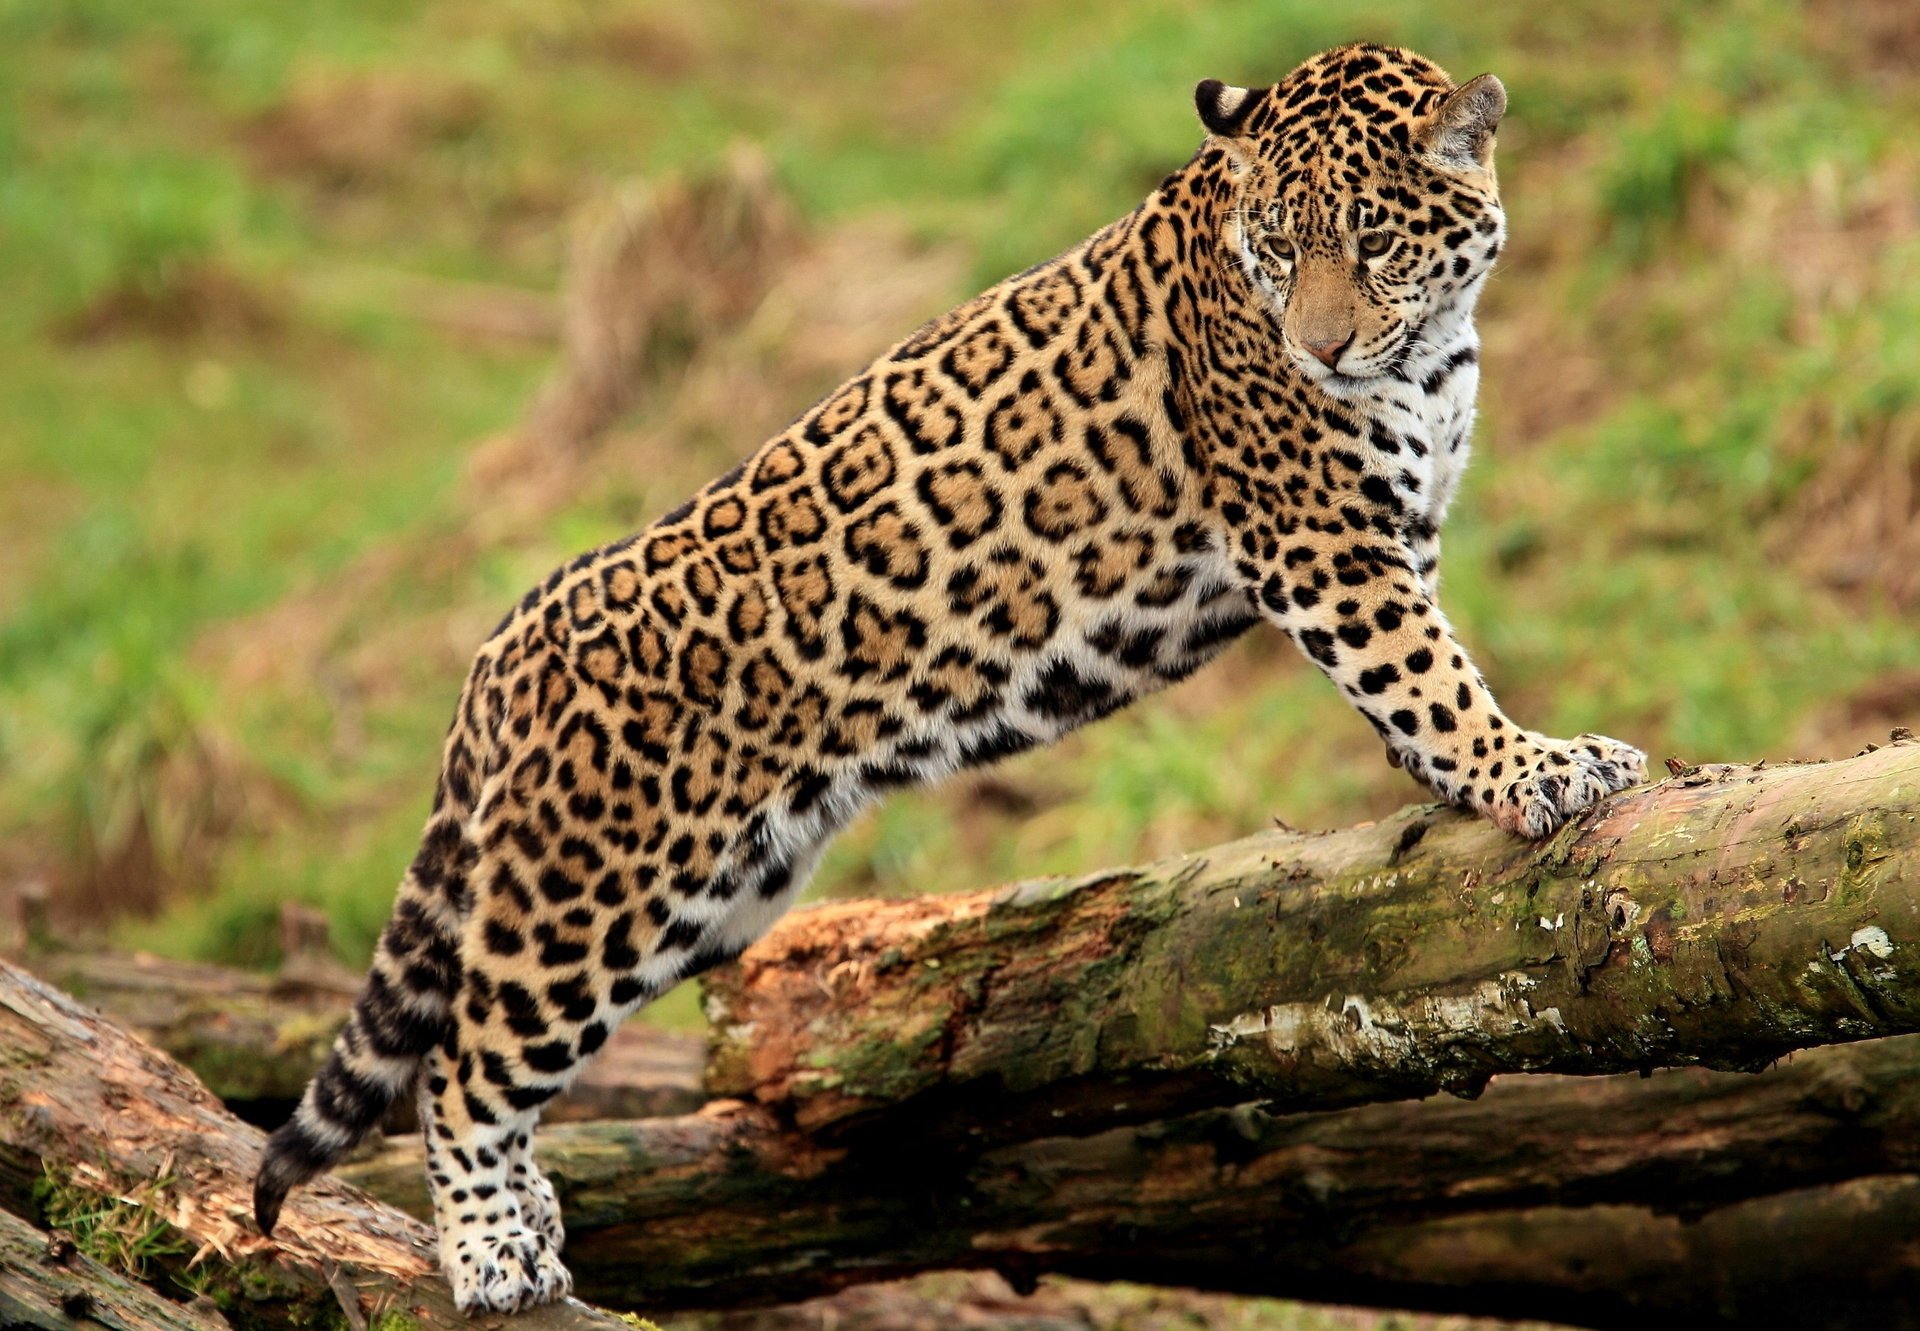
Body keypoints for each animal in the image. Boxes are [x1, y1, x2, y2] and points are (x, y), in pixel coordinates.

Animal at [255, 43, 1646, 1314]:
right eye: (1278, 244)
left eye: (1372, 237)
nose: (1325, 348)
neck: (1432, 350)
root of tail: (505, 645)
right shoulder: (1325, 542)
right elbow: (1429, 672)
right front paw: (1535, 765)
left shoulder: (1397, 530)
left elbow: (1422, 683)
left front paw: (1468, 778)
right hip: (592, 892)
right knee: (465, 1063)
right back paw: (492, 1249)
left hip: (723, 889)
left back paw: (534, 1215)